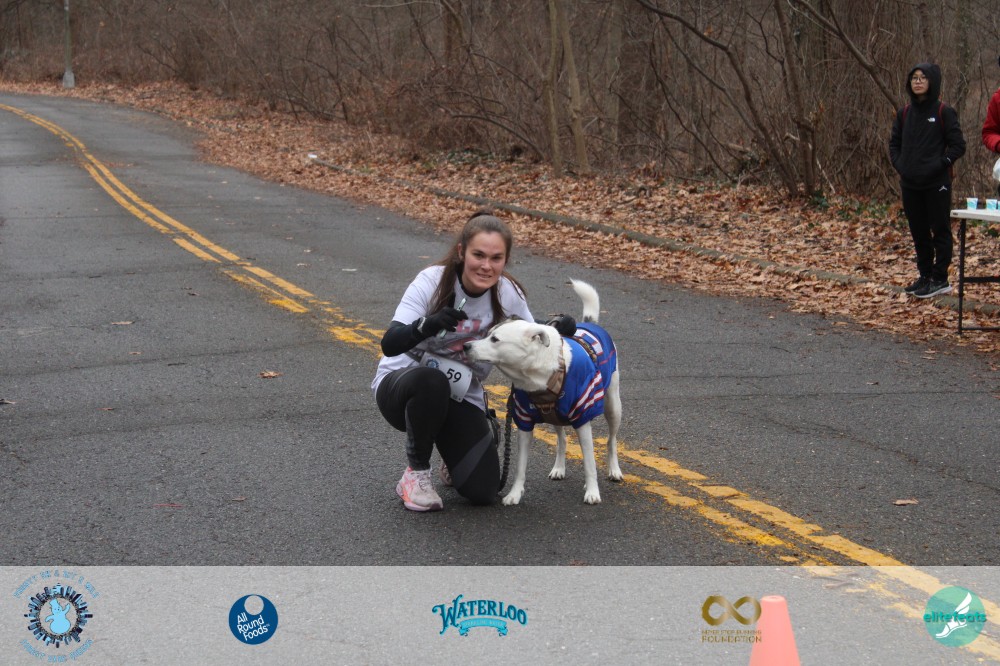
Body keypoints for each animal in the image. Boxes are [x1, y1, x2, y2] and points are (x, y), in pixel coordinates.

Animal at [464, 279, 622, 505]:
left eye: (495, 339)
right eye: (487, 334)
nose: (466, 346)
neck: (539, 375)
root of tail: (590, 323)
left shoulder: (583, 419)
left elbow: (590, 463)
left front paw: (592, 491)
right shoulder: (524, 423)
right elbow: (520, 467)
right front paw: (514, 494)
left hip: (613, 407)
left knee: (611, 441)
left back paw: (614, 470)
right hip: (556, 417)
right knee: (562, 440)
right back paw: (559, 468)